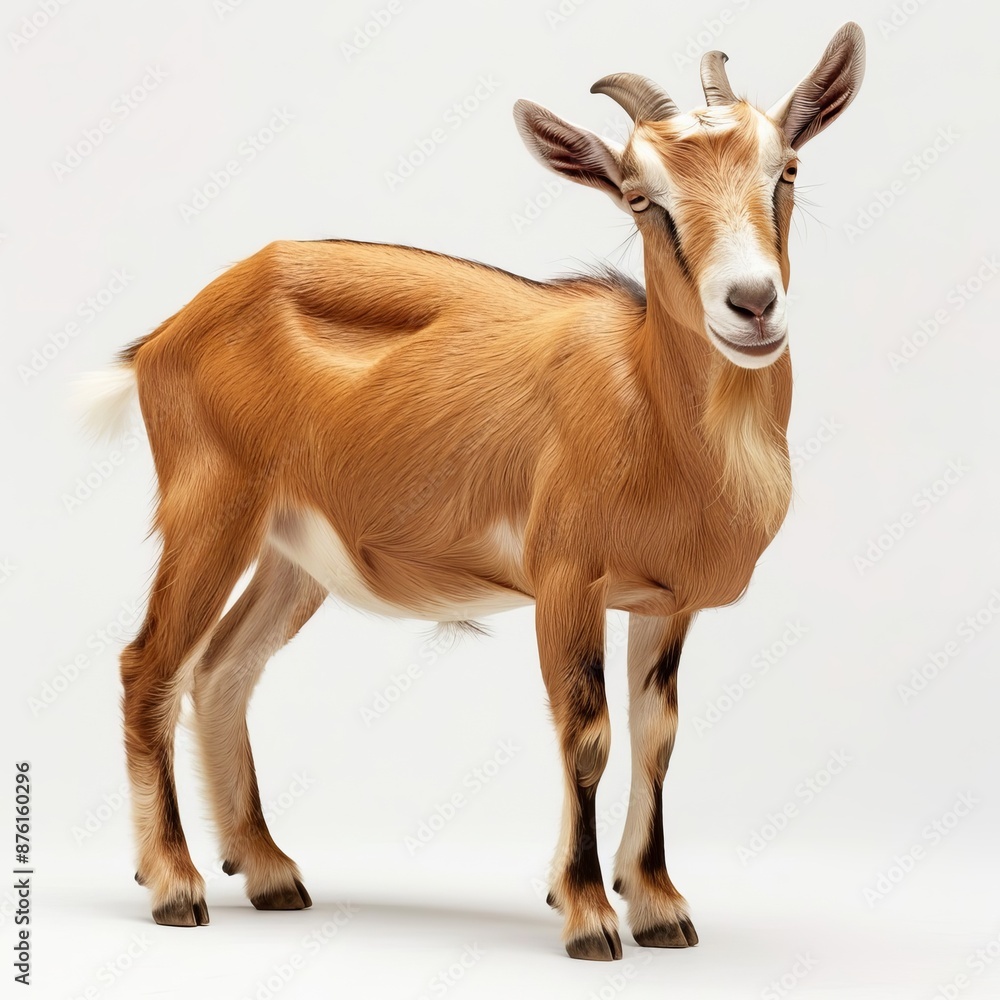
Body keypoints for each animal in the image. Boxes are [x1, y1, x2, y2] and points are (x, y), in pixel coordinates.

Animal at [82, 23, 864, 960]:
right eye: (641, 197)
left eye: (787, 167)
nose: (751, 304)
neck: (646, 407)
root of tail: (167, 333)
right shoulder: (565, 580)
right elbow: (588, 734)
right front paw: (588, 915)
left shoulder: (663, 602)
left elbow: (658, 738)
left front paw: (660, 906)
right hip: (211, 510)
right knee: (150, 665)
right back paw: (174, 885)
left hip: (294, 552)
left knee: (226, 669)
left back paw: (269, 872)